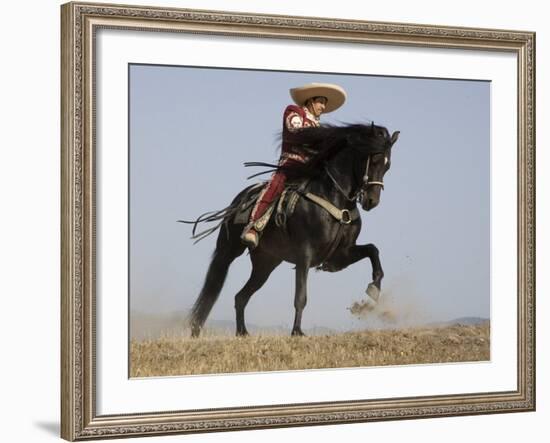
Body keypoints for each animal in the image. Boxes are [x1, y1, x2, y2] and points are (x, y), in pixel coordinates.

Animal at [185, 121, 402, 336]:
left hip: (266, 264)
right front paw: (297, 331)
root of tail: (239, 200)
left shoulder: (342, 254)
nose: (372, 201)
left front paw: (373, 290)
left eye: (388, 165)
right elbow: (301, 296)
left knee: (241, 296)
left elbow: (373, 250)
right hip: (229, 250)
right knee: (215, 285)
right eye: (374, 160)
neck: (336, 200)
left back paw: (242, 333)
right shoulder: (304, 255)